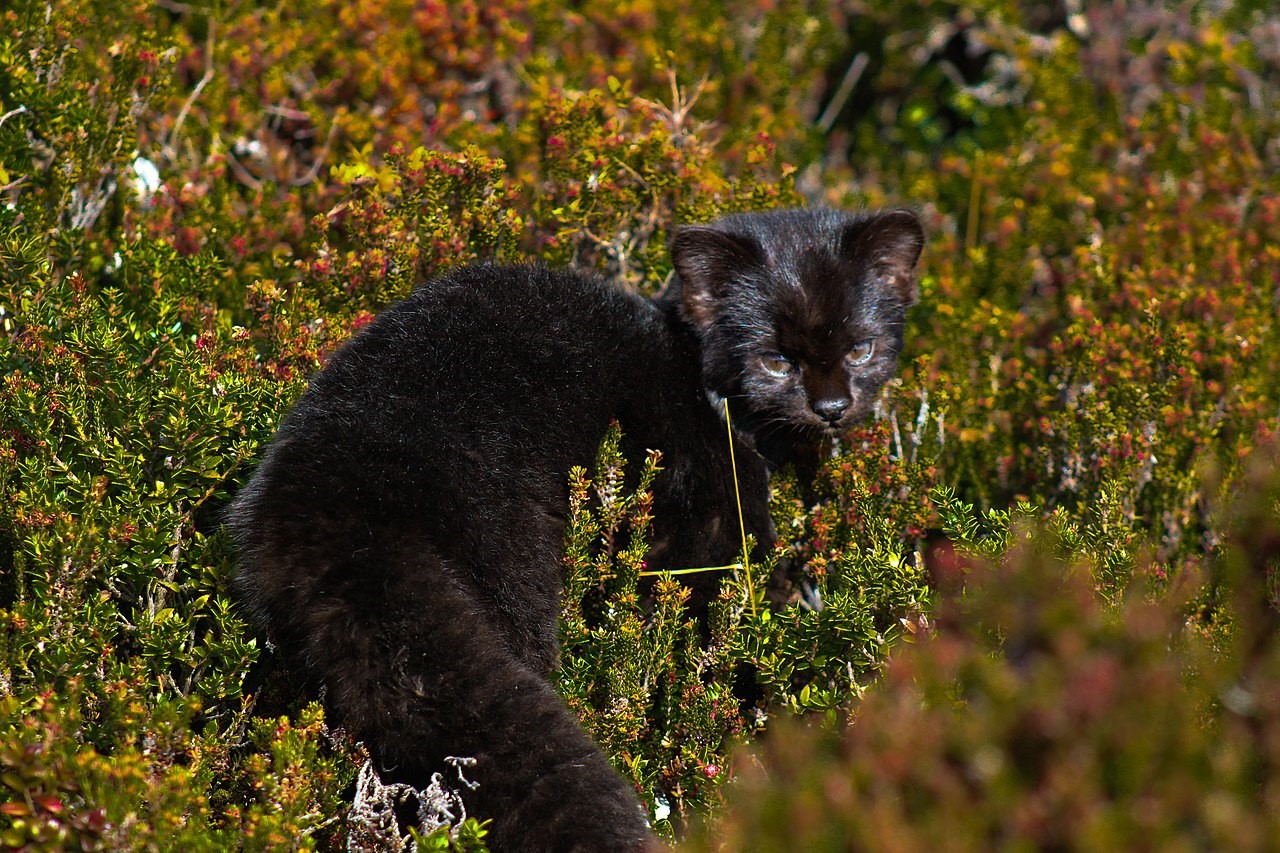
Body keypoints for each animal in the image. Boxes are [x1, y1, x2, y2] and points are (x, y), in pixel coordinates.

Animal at [230, 207, 926, 850]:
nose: (832, 408)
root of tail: (339, 514)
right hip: (513, 578)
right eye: (776, 359)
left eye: (861, 348)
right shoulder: (705, 532)